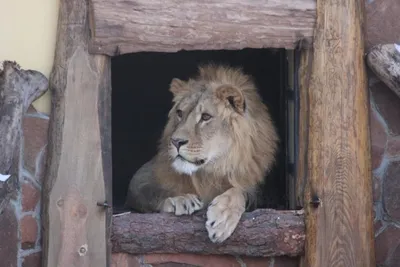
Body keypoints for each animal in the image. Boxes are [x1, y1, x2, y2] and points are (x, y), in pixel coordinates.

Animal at [125, 63, 278, 244]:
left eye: (205, 117)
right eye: (179, 113)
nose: (176, 141)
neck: (210, 170)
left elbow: (240, 191)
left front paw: (222, 218)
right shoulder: (141, 178)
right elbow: (153, 193)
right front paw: (180, 199)